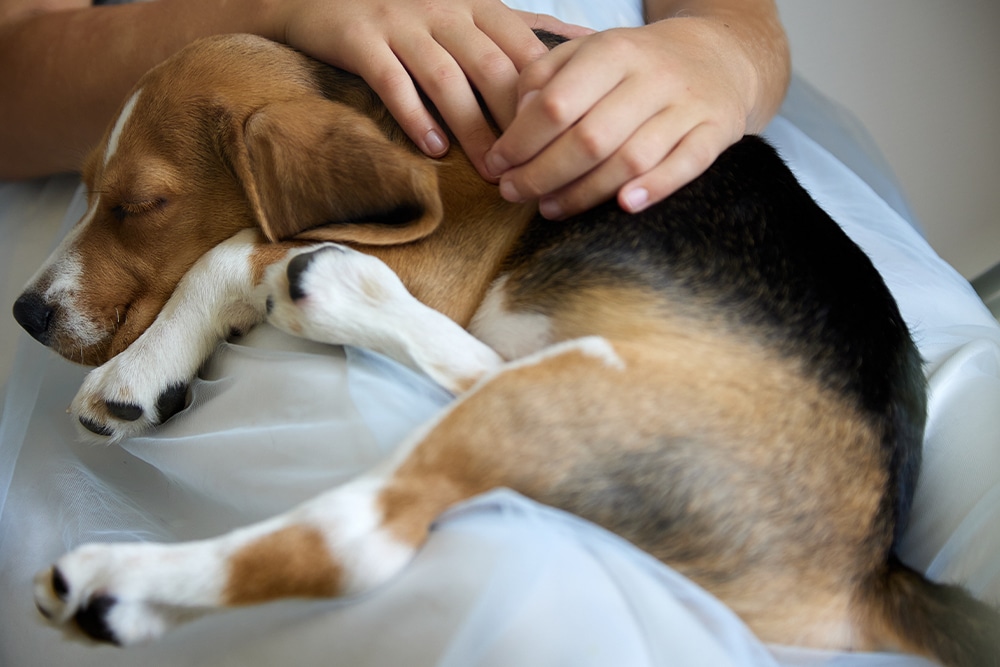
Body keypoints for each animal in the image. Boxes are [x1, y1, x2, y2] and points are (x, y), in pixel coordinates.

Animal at [13, 31, 992, 664]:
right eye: (87, 189)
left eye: (141, 204)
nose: (24, 312)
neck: (384, 110)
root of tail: (869, 571)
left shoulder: (436, 253)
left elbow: (226, 252)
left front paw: (139, 370)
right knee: (472, 364)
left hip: (581, 394)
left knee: (355, 538)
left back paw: (116, 580)